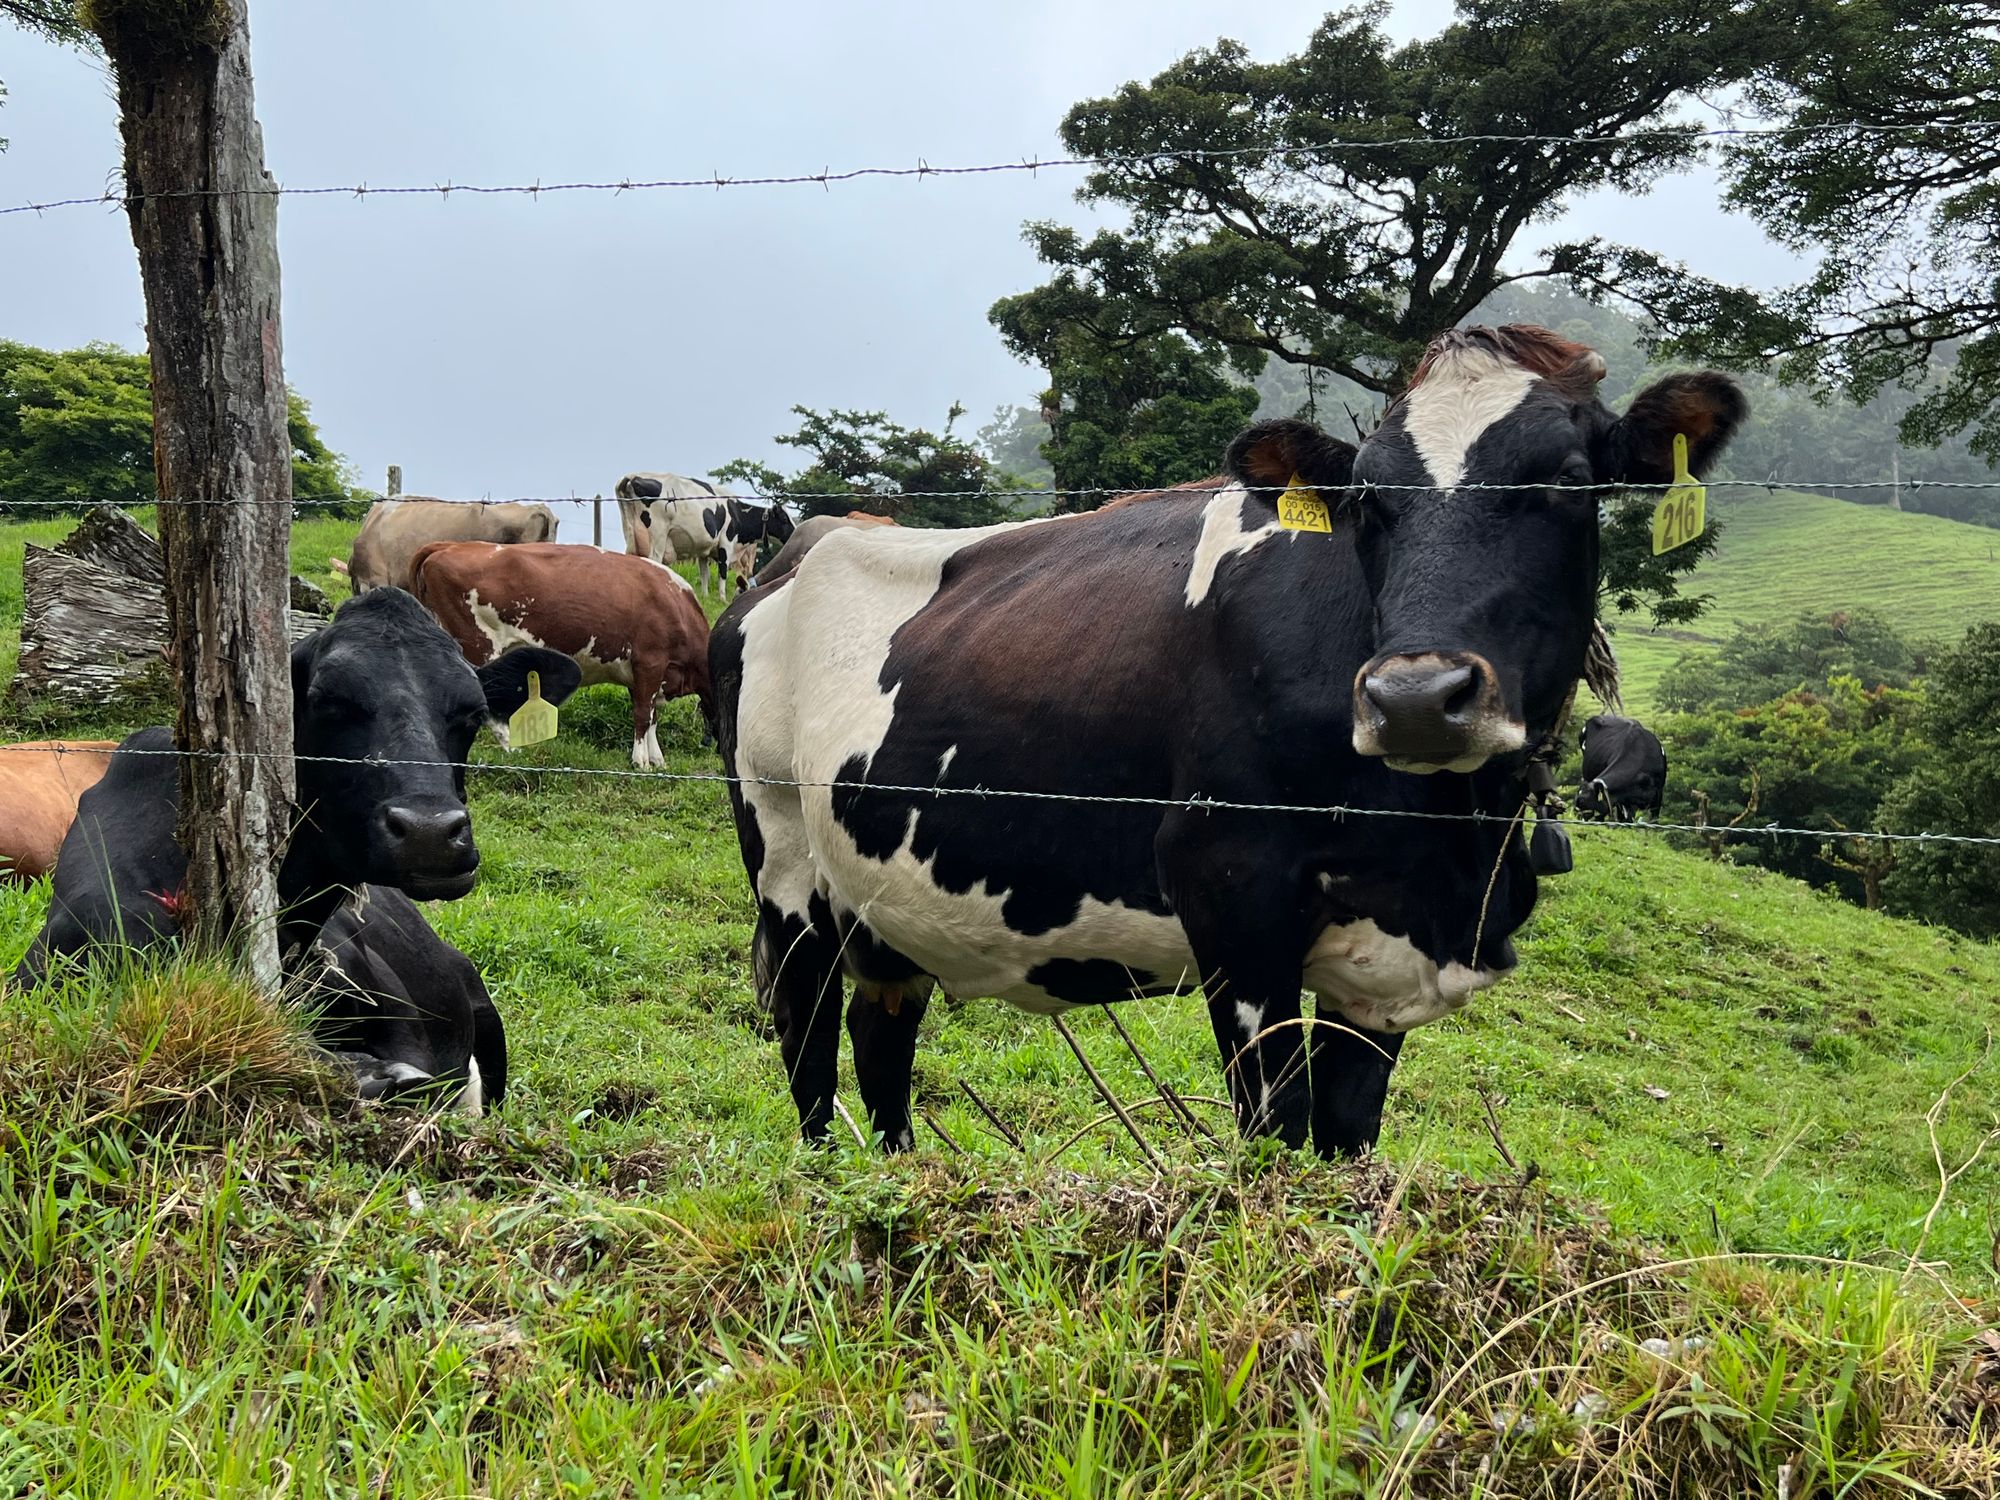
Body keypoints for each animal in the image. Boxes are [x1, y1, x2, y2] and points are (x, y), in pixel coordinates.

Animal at [410, 541, 715, 769]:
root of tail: (452, 544)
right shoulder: (649, 661)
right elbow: (642, 714)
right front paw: (640, 761)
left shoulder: (647, 673)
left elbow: (651, 716)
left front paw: (657, 758)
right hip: (478, 644)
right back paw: (512, 748)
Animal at [615, 472, 796, 596]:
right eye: (784, 519)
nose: (795, 531)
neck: (737, 512)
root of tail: (632, 476)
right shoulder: (726, 542)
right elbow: (722, 571)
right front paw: (722, 598)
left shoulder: (704, 550)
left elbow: (704, 574)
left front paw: (705, 595)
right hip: (657, 535)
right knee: (654, 560)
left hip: (632, 534)